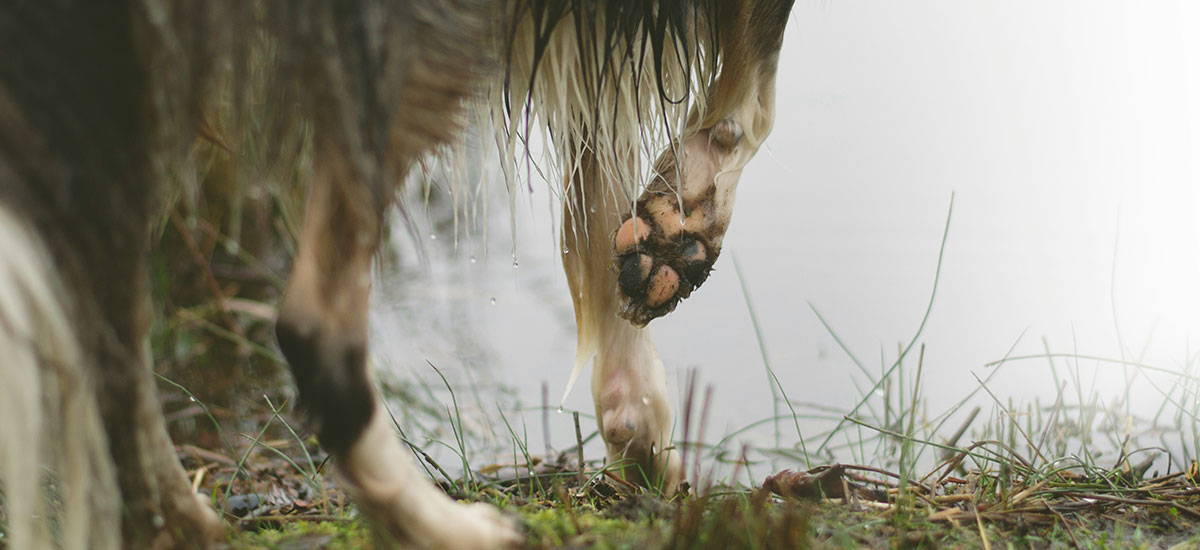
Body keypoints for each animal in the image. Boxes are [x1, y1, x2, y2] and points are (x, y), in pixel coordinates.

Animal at [2, 2, 796, 547]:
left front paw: (641, 428)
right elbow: (757, 80)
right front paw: (687, 216)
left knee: (106, 326)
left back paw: (178, 519)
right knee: (313, 326)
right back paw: (449, 529)